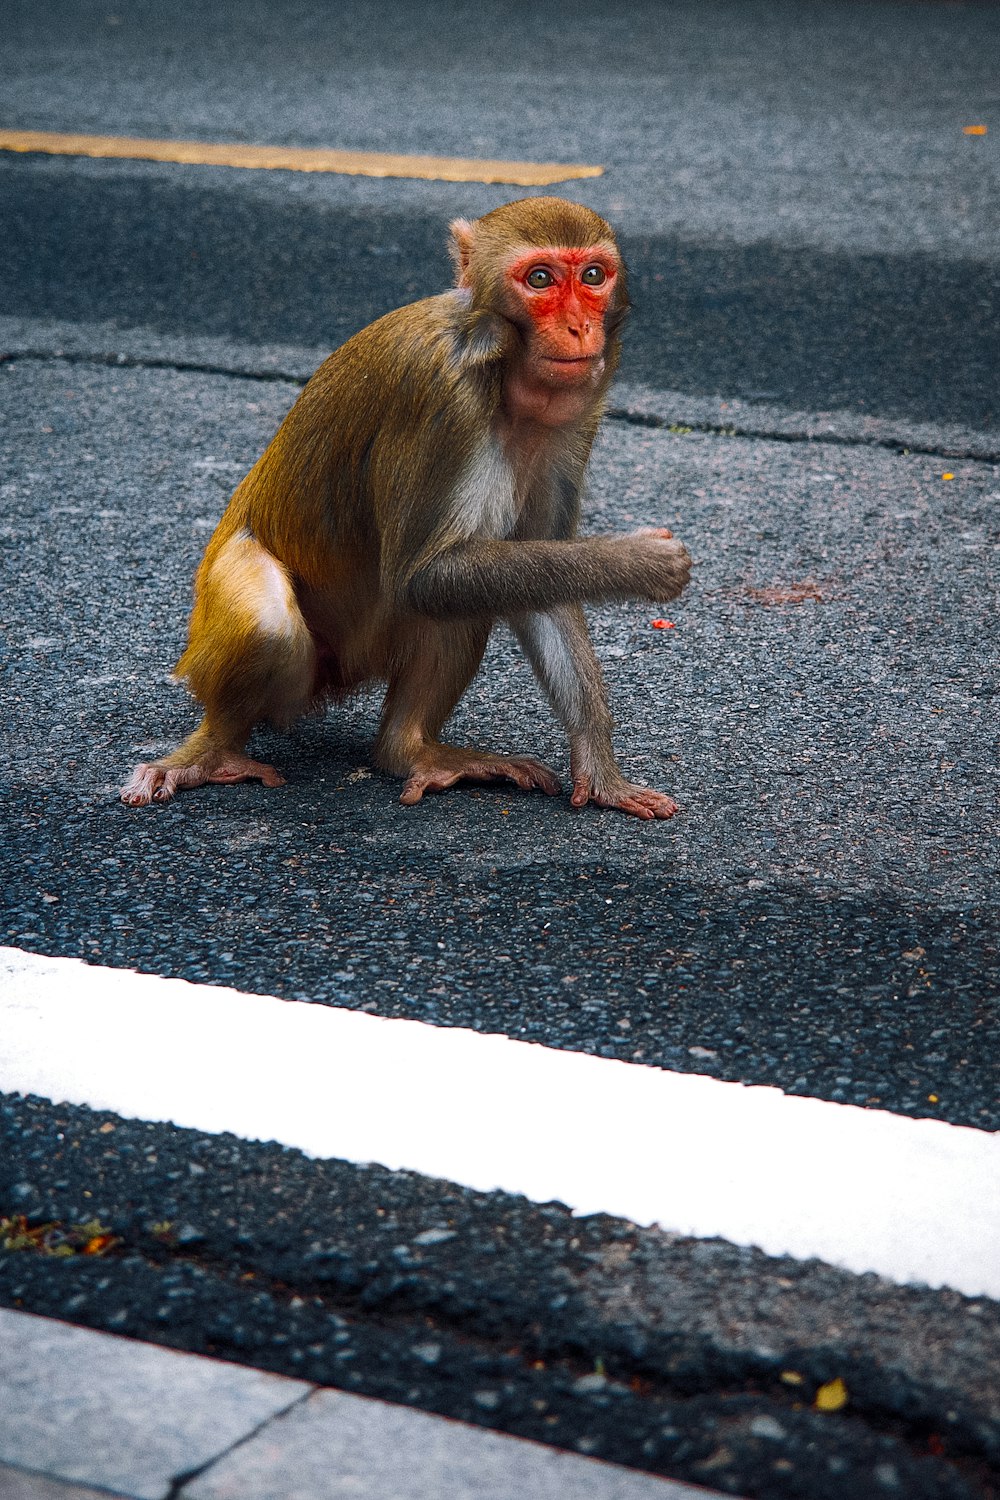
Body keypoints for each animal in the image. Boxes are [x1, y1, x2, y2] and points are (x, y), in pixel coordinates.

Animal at [121, 198, 692, 822]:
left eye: (592, 276)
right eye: (540, 279)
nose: (578, 327)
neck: (500, 370)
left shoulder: (574, 422)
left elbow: (533, 584)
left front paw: (601, 770)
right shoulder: (441, 398)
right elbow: (423, 574)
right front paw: (639, 562)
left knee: (467, 594)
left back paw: (409, 750)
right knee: (273, 622)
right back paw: (211, 753)